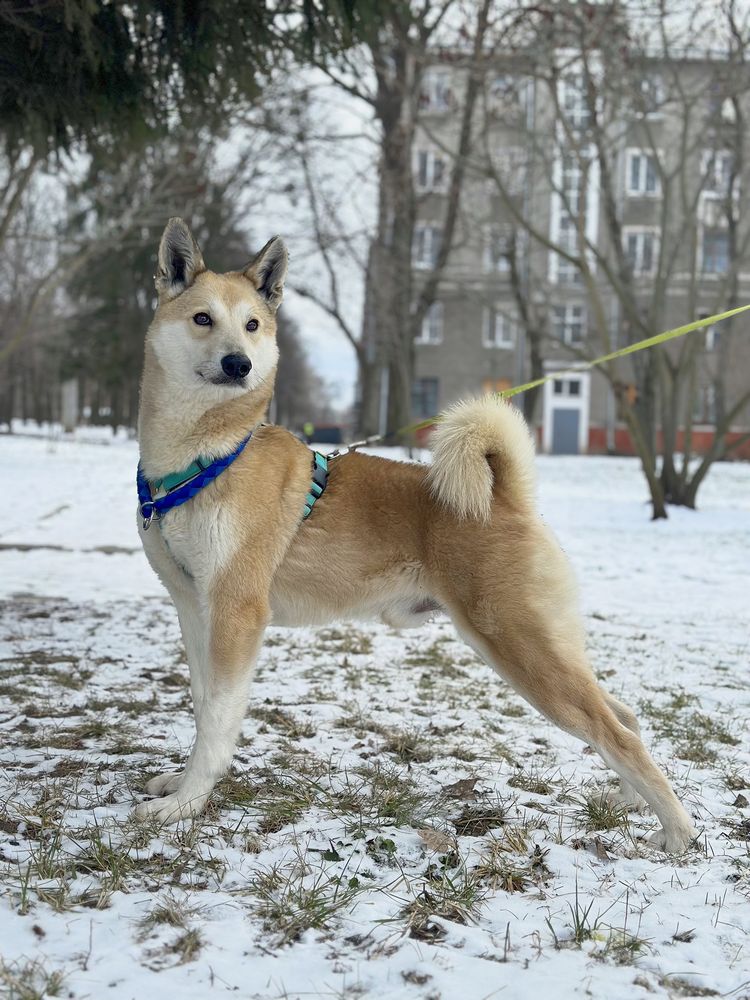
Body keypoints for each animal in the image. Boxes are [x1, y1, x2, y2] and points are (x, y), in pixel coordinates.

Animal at [134, 219, 700, 852]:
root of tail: (507, 498)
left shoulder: (236, 612)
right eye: (202, 318)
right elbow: (203, 704)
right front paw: (182, 786)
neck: (209, 455)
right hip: (540, 645)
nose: (239, 364)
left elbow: (217, 719)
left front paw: (186, 805)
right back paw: (630, 799)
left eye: (252, 325)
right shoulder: (194, 607)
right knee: (623, 716)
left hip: (520, 646)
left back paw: (677, 833)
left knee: (615, 730)